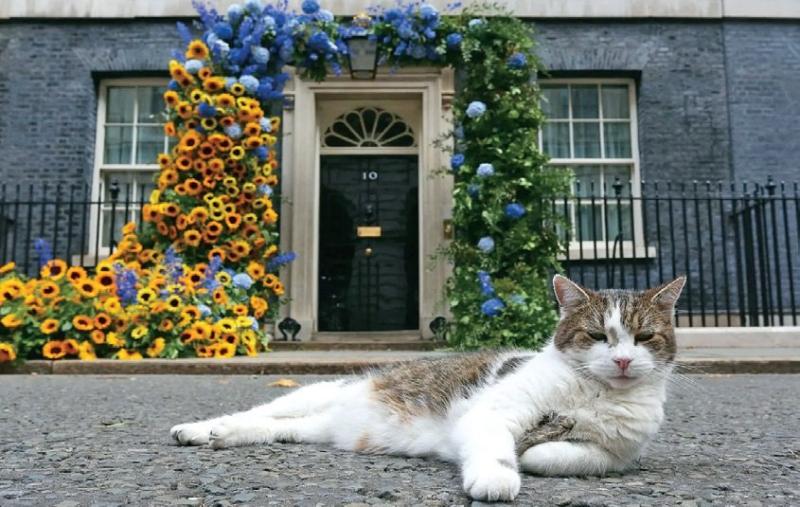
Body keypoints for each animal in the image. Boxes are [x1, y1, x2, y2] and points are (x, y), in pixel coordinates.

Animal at [172, 276, 684, 506]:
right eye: (597, 335)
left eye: (644, 337)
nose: (622, 360)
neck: (593, 395)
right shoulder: (494, 412)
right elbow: (496, 449)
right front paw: (497, 477)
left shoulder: (612, 455)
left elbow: (556, 455)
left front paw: (539, 450)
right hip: (315, 393)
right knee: (255, 412)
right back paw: (200, 428)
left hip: (312, 428)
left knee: (273, 428)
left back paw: (220, 436)